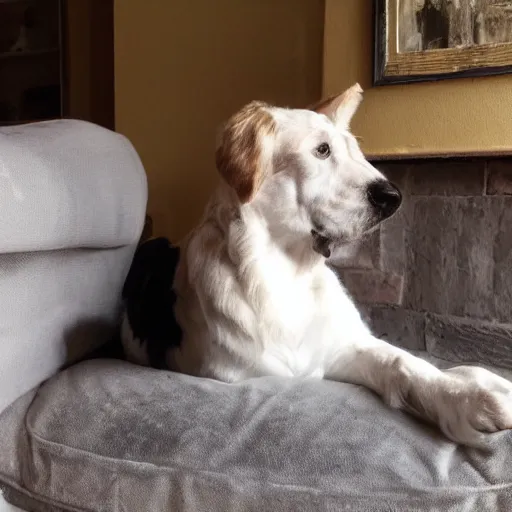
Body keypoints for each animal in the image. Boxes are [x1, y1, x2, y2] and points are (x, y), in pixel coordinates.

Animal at [122, 83, 512, 444]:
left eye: (356, 151)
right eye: (321, 150)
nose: (394, 197)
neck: (286, 273)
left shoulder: (345, 347)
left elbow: (403, 361)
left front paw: (469, 395)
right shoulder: (238, 374)